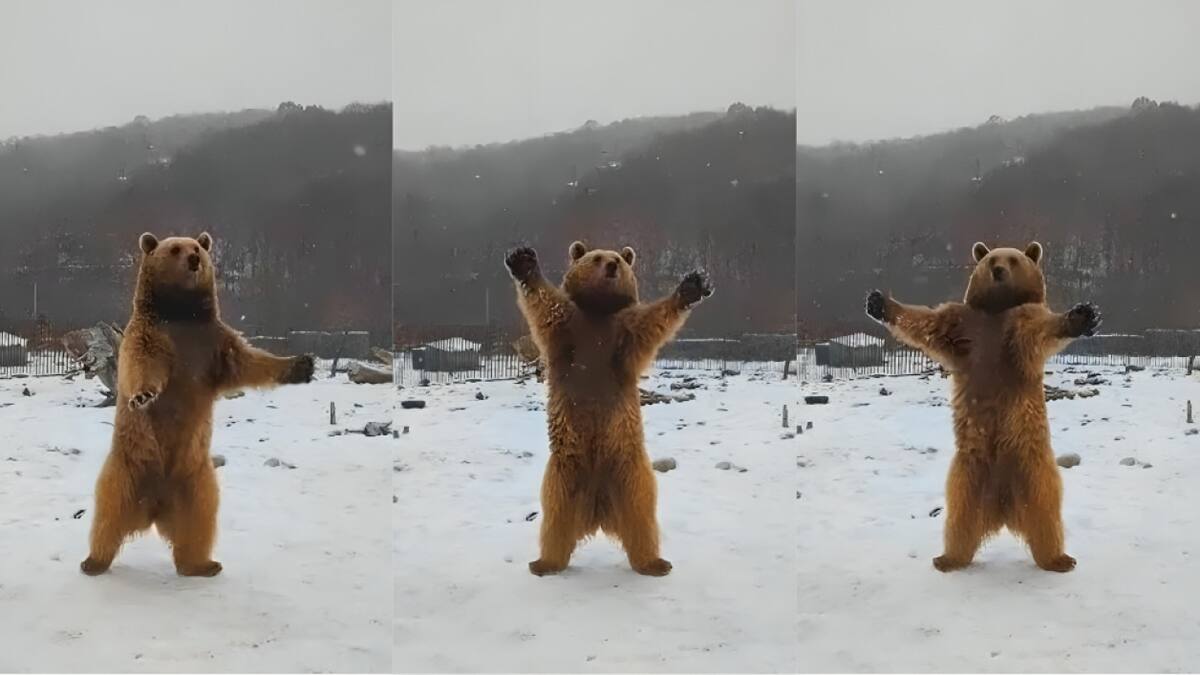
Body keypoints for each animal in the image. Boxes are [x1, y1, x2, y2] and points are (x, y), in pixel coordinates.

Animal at [80, 231, 315, 577]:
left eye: (197, 247)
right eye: (175, 248)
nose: (194, 259)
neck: (182, 315)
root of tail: (154, 507)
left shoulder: (213, 345)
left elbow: (250, 362)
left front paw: (302, 364)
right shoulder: (153, 335)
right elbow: (143, 363)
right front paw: (143, 395)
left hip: (195, 479)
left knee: (200, 521)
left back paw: (202, 564)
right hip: (128, 467)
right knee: (108, 515)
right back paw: (94, 561)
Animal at [504, 241, 712, 576]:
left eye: (618, 259)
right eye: (597, 258)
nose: (613, 265)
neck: (598, 313)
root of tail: (598, 510)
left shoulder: (623, 337)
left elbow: (654, 321)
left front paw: (692, 286)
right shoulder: (569, 331)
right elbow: (546, 306)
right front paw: (523, 262)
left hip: (629, 467)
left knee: (642, 514)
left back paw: (655, 563)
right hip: (565, 471)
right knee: (555, 516)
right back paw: (545, 563)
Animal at [865, 241, 1101, 573]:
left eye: (1013, 259)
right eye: (991, 259)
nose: (998, 270)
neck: (995, 312)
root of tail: (1003, 509)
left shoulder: (1016, 331)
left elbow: (1040, 329)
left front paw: (1082, 316)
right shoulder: (962, 326)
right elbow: (924, 322)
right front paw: (878, 302)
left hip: (1031, 463)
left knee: (1046, 510)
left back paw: (1058, 559)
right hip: (968, 471)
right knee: (959, 518)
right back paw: (948, 558)